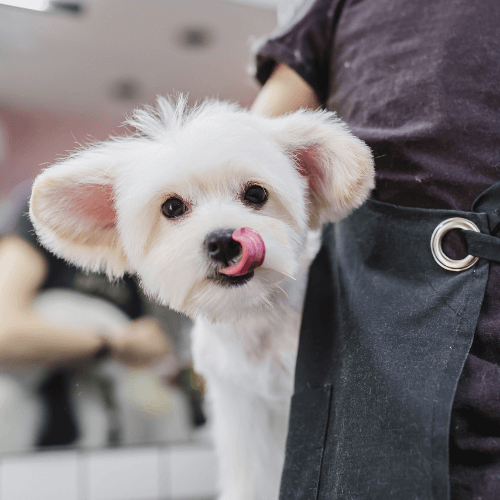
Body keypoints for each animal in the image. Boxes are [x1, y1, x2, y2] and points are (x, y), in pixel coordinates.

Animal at [29, 95, 374, 498]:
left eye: (256, 193)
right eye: (172, 207)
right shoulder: (241, 409)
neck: (257, 324)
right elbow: (251, 477)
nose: (224, 241)